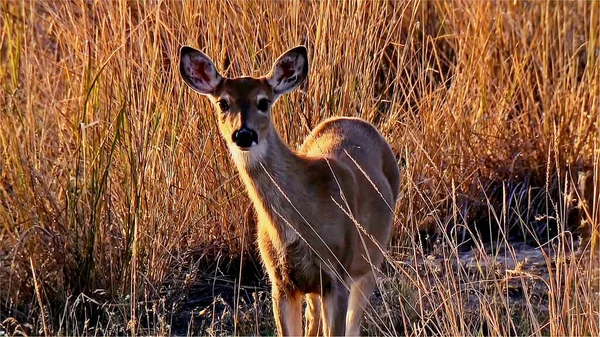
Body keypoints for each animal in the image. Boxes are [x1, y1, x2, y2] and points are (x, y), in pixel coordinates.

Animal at [180, 45, 400, 336]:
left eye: (263, 102)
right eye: (223, 103)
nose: (243, 134)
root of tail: (353, 119)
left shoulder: (337, 275)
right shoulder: (280, 282)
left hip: (371, 261)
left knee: (353, 324)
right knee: (313, 319)